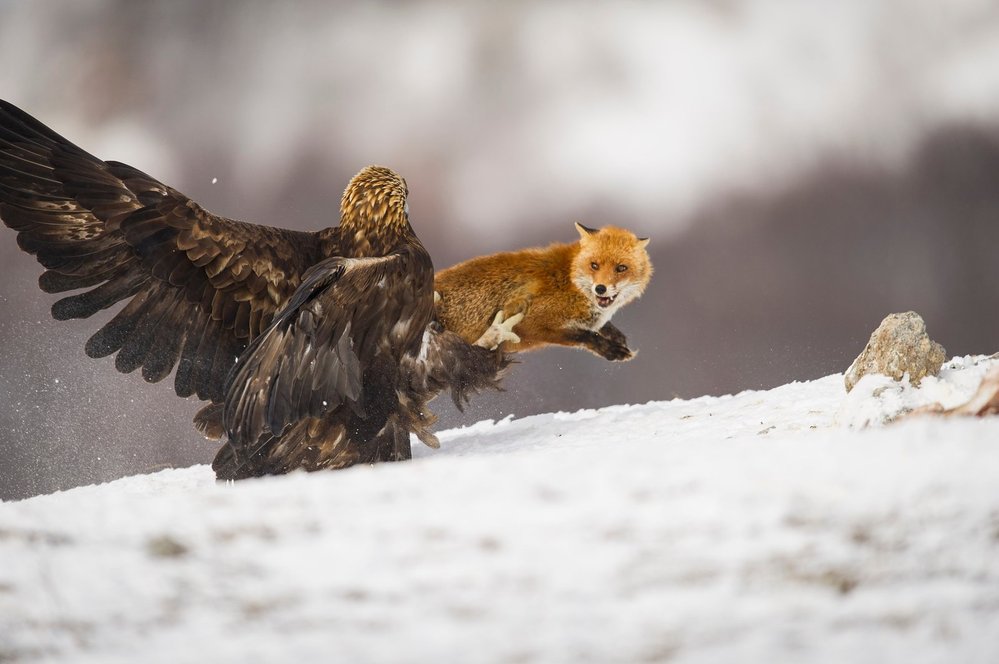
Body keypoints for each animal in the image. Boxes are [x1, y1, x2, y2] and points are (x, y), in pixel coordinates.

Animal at [434, 223, 652, 358]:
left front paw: (617, 337)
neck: (570, 283)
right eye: (594, 265)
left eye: (621, 268)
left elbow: (600, 329)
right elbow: (584, 336)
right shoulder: (532, 324)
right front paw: (611, 351)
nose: (600, 288)